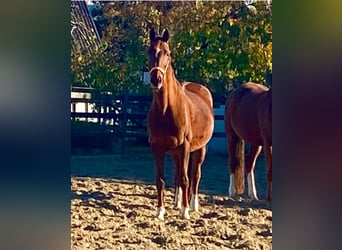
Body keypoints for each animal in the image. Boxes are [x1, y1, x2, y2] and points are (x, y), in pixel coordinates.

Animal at [147, 27, 214, 219]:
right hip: (175, 153)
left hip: (199, 149)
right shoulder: (157, 148)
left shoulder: (184, 147)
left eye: (167, 53)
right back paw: (177, 203)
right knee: (178, 174)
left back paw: (192, 205)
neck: (166, 110)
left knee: (195, 175)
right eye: (149, 51)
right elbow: (161, 180)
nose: (156, 79)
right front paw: (160, 211)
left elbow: (186, 179)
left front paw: (185, 212)